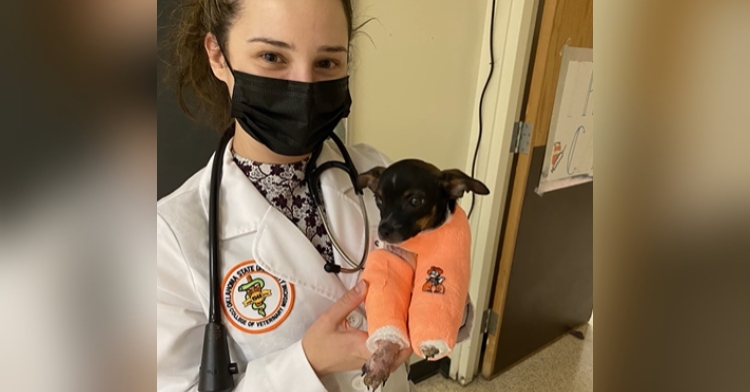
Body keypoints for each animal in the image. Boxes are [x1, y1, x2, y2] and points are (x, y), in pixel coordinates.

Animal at [360, 158, 494, 388]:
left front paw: (430, 344)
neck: (418, 244)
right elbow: (388, 334)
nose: (383, 230)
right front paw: (379, 363)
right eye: (378, 200)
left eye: (415, 201)